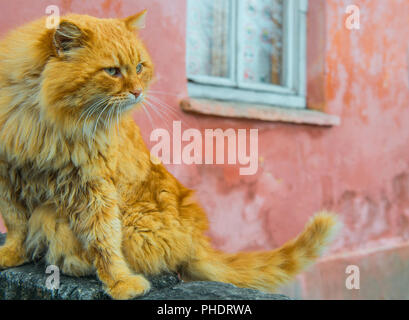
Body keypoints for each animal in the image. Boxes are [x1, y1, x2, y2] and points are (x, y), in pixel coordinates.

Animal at [0, 11, 338, 298]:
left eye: (139, 67)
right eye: (112, 71)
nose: (137, 92)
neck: (42, 118)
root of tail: (196, 240)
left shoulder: (94, 185)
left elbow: (104, 240)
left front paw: (120, 282)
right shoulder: (9, 176)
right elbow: (15, 225)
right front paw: (12, 254)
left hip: (129, 219)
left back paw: (74, 263)